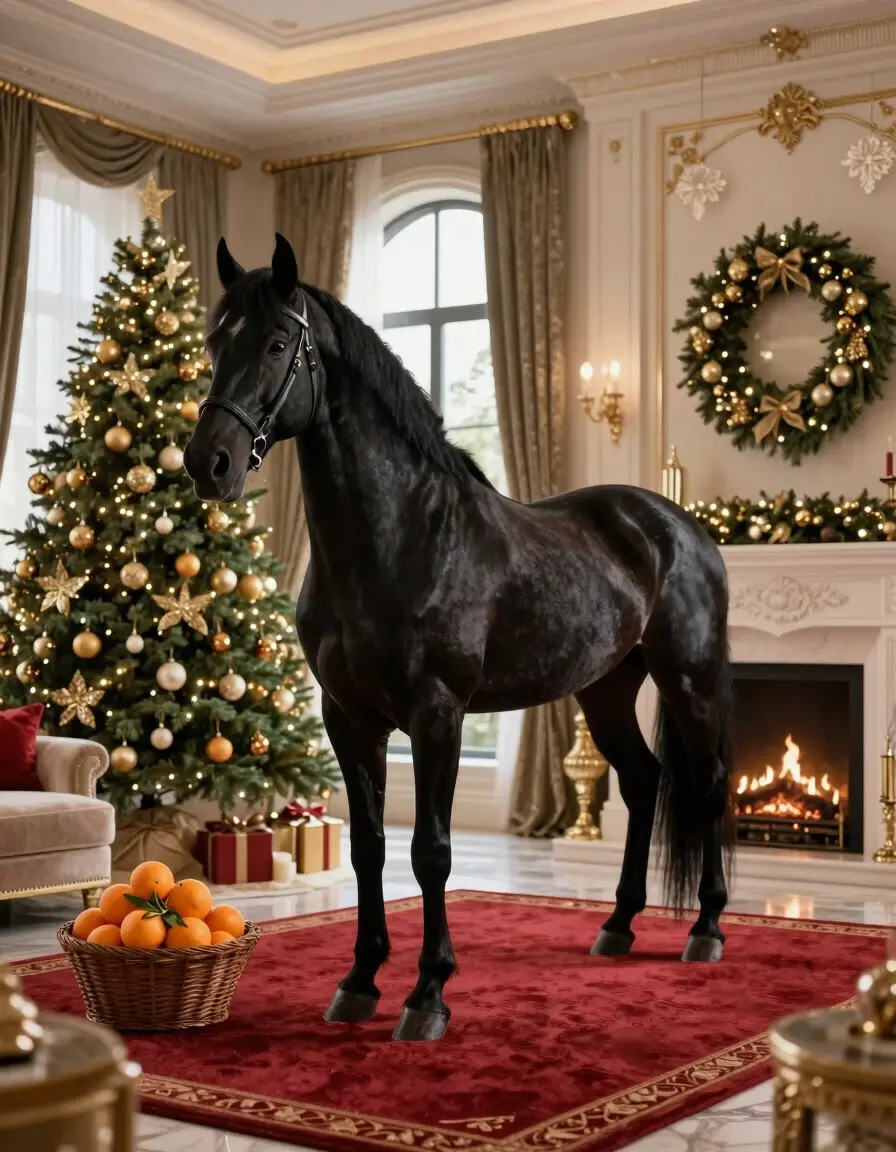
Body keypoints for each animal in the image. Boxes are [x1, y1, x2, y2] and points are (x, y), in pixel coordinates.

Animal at [183, 233, 735, 1044]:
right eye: (215, 341)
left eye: (279, 342)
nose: (209, 463)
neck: (396, 540)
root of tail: (681, 526)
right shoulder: (348, 719)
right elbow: (370, 848)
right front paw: (359, 981)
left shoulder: (436, 713)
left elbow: (431, 853)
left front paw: (428, 994)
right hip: (606, 691)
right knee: (643, 781)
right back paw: (618, 925)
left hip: (689, 680)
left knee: (709, 784)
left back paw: (707, 929)